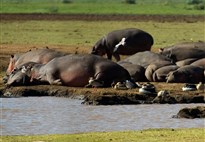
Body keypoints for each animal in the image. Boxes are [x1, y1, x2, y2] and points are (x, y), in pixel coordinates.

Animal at [6, 54, 136, 88]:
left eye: (14, 70)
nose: (6, 81)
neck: (38, 69)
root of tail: (125, 69)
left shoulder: (50, 71)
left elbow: (52, 78)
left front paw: (59, 82)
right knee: (107, 82)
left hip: (101, 69)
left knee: (99, 80)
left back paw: (89, 83)